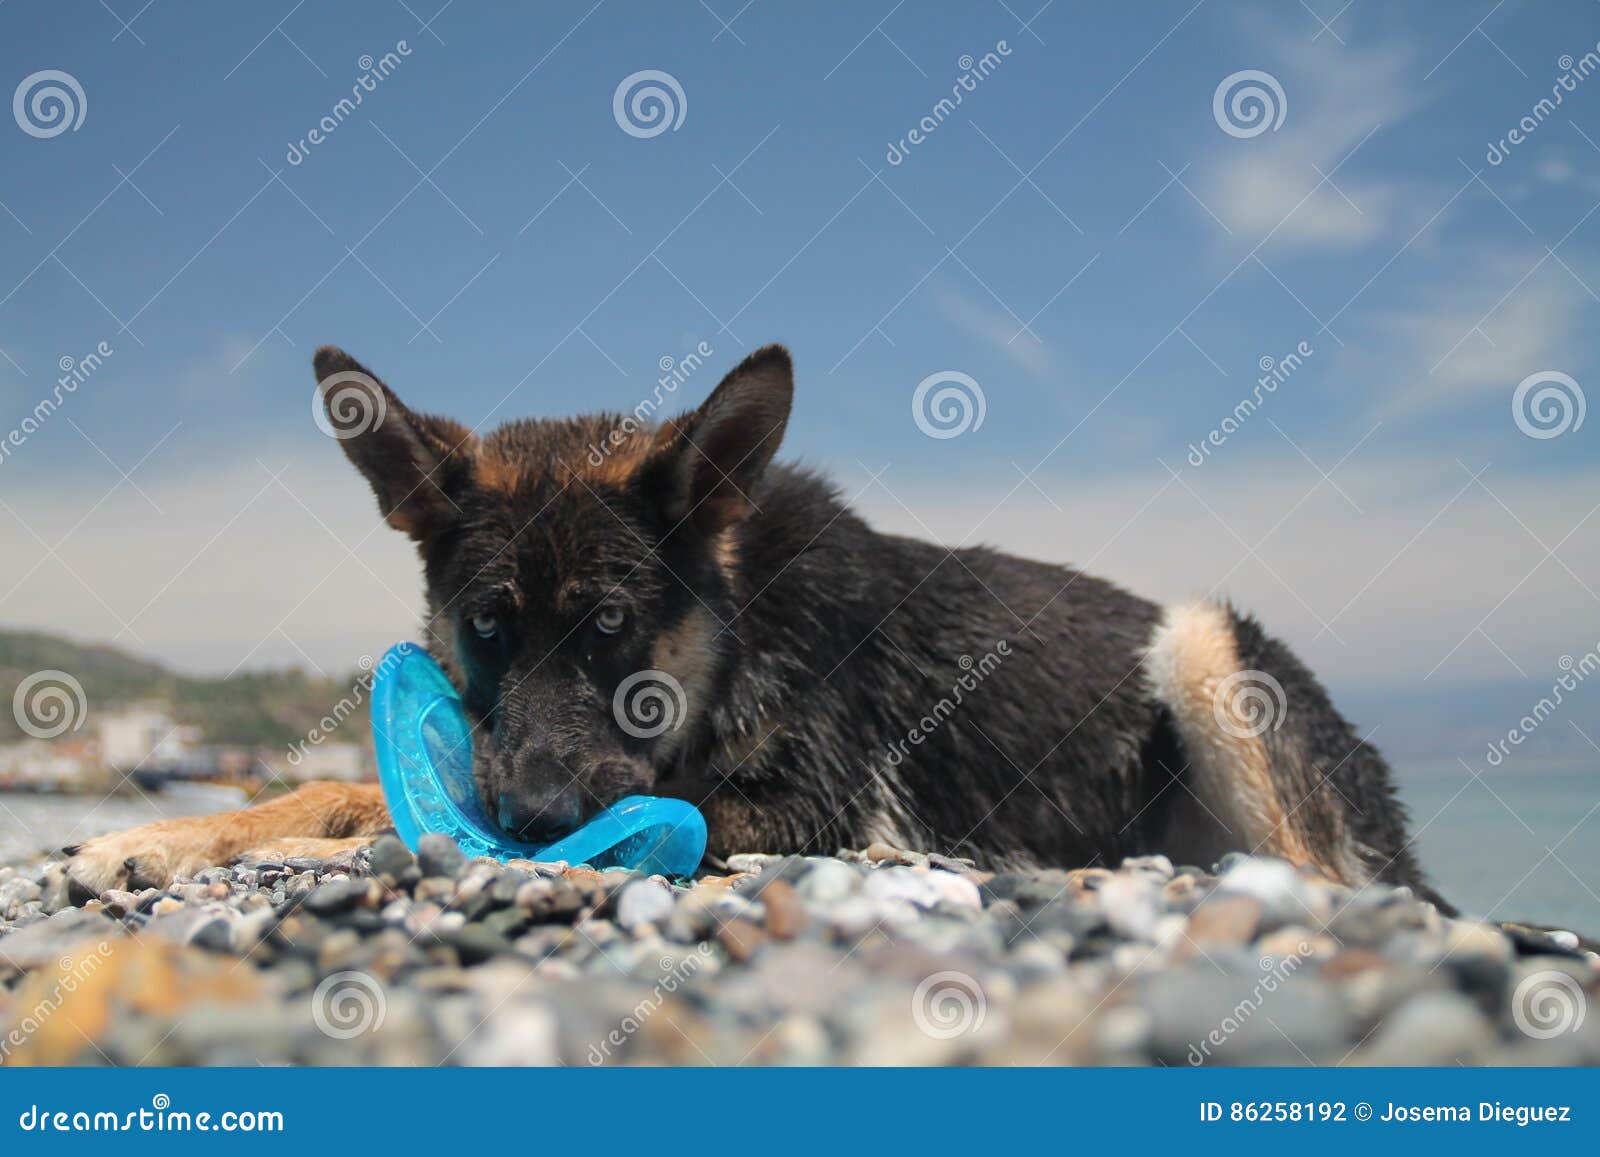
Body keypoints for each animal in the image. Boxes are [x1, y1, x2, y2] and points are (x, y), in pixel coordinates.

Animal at [62, 344, 1452, 915]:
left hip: (1209, 651)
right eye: (487, 628)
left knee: (1329, 878)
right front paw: (157, 837)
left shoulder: (805, 804)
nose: (532, 814)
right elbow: (335, 795)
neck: (727, 631)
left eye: (613, 624)